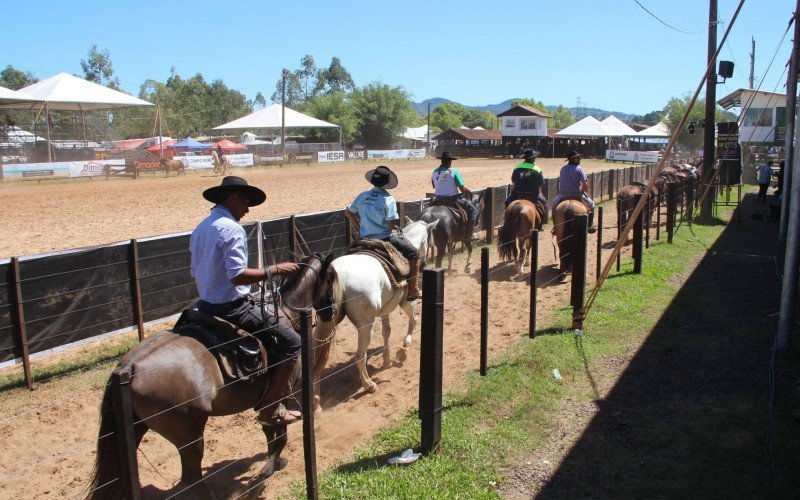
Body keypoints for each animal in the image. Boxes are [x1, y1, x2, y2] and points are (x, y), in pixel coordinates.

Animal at [88, 254, 334, 500]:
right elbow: (279, 434)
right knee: (191, 478)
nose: (330, 311)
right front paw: (271, 468)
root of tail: (130, 366)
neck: (285, 313)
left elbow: (269, 431)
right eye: (331, 277)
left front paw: (274, 461)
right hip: (189, 435)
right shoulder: (281, 393)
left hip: (137, 427)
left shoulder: (268, 400)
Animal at [310, 218, 438, 410]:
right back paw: (368, 384)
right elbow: (414, 320)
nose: (429, 257)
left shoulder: (386, 308)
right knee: (359, 355)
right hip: (365, 325)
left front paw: (386, 359)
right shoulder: (405, 301)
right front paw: (403, 350)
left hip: (323, 320)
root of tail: (337, 273)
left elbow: (387, 331)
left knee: (318, 359)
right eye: (429, 238)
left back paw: (316, 401)